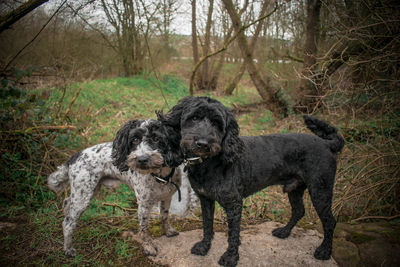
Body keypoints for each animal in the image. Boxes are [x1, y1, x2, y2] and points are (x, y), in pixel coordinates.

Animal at [48, 119, 183, 258]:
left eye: (156, 138)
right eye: (134, 140)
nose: (141, 159)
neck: (160, 175)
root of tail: (74, 156)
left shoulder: (167, 197)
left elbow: (164, 216)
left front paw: (168, 231)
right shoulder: (143, 204)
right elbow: (144, 228)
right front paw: (148, 247)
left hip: (87, 189)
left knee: (67, 202)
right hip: (83, 195)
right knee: (68, 223)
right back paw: (68, 248)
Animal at [159, 97, 344, 267]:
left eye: (217, 123)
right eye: (194, 118)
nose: (203, 143)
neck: (208, 163)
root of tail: (326, 143)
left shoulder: (234, 203)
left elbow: (233, 234)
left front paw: (231, 257)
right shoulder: (206, 199)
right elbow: (207, 225)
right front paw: (205, 247)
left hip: (320, 189)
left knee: (330, 221)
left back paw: (324, 251)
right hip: (295, 188)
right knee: (299, 211)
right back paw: (284, 232)